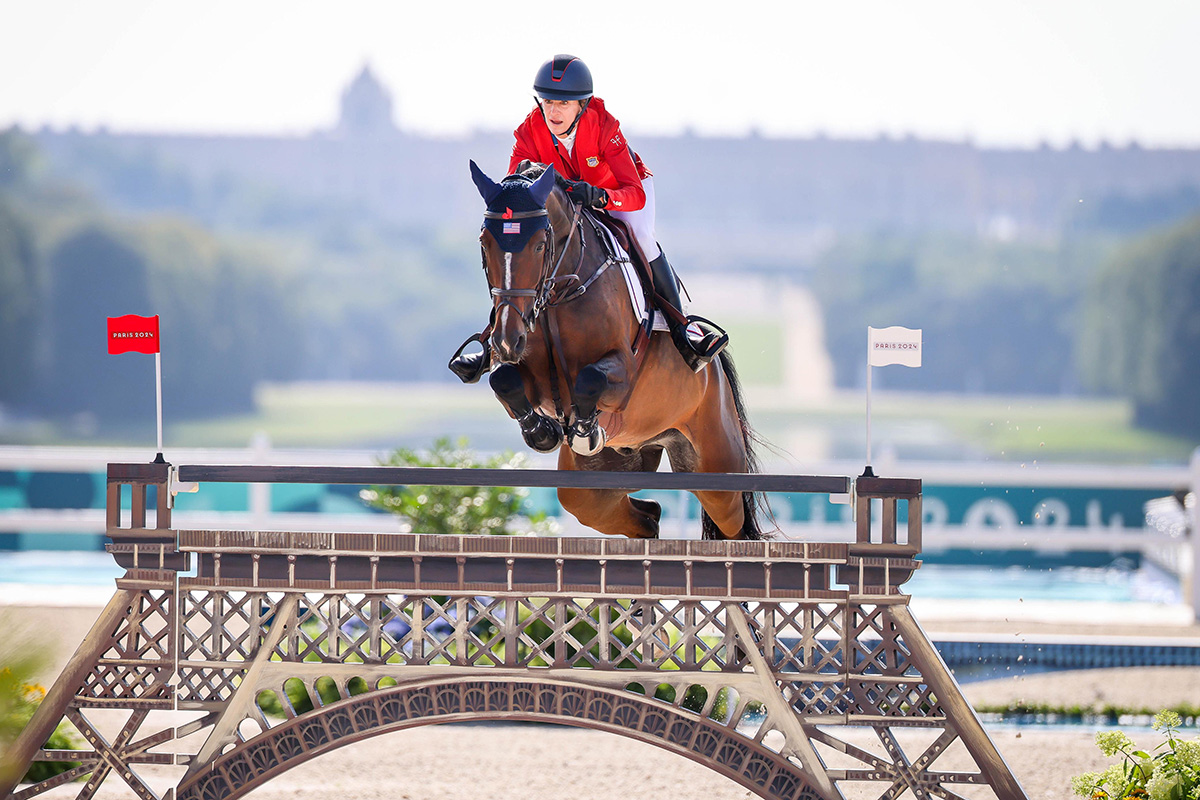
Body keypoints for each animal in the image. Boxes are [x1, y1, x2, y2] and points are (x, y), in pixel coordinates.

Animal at [463, 159, 763, 542]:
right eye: (485, 243)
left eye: (539, 244)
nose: (506, 338)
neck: (559, 294)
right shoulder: (525, 372)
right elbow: (503, 378)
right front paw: (543, 432)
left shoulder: (622, 371)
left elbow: (591, 378)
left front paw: (585, 432)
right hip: (599, 483)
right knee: (642, 514)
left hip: (717, 472)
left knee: (733, 524)